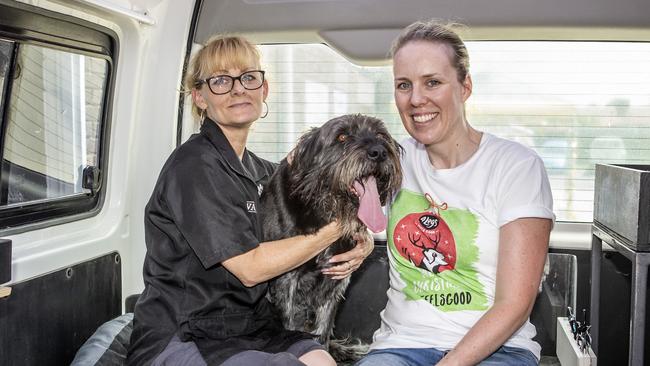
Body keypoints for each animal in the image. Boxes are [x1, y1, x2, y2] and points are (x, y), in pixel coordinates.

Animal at [260, 114, 400, 364]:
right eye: (342, 137)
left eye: (380, 135)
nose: (379, 152)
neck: (324, 209)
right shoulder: (285, 280)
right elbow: (290, 326)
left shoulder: (335, 281)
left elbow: (323, 332)